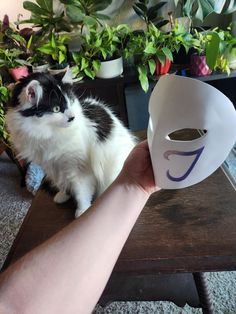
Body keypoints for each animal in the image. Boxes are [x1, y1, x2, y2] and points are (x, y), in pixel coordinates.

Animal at [6, 72, 136, 217]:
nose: (72, 117)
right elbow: (62, 183)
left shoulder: (78, 167)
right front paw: (63, 195)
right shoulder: (52, 166)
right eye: (56, 109)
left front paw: (82, 211)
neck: (47, 135)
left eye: (69, 102)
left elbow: (81, 191)